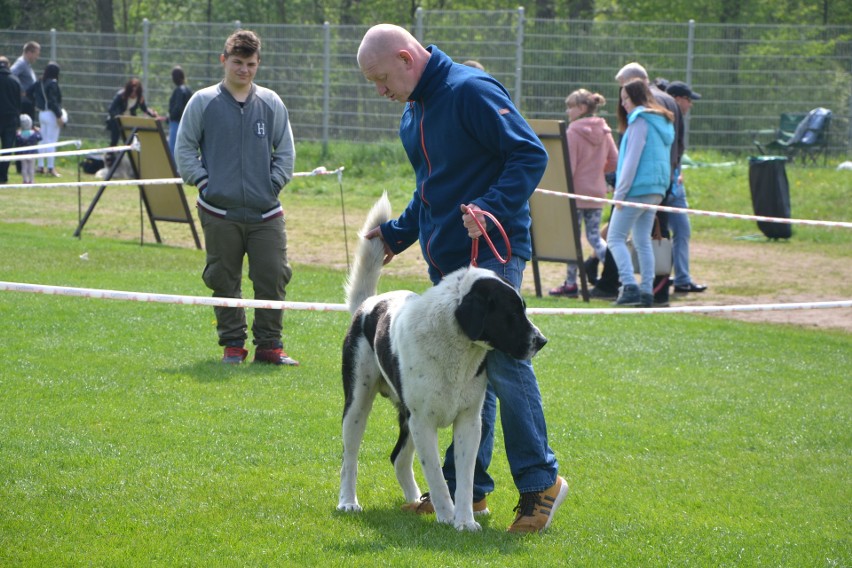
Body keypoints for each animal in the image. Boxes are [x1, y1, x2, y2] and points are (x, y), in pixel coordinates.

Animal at [336, 193, 548, 532]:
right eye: (511, 313)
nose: (540, 341)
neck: (456, 347)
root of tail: (368, 304)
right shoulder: (423, 422)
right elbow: (436, 473)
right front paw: (447, 515)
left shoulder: (469, 423)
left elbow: (464, 478)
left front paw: (465, 521)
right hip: (358, 405)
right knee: (350, 457)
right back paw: (348, 501)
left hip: (406, 416)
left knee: (398, 458)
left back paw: (414, 501)